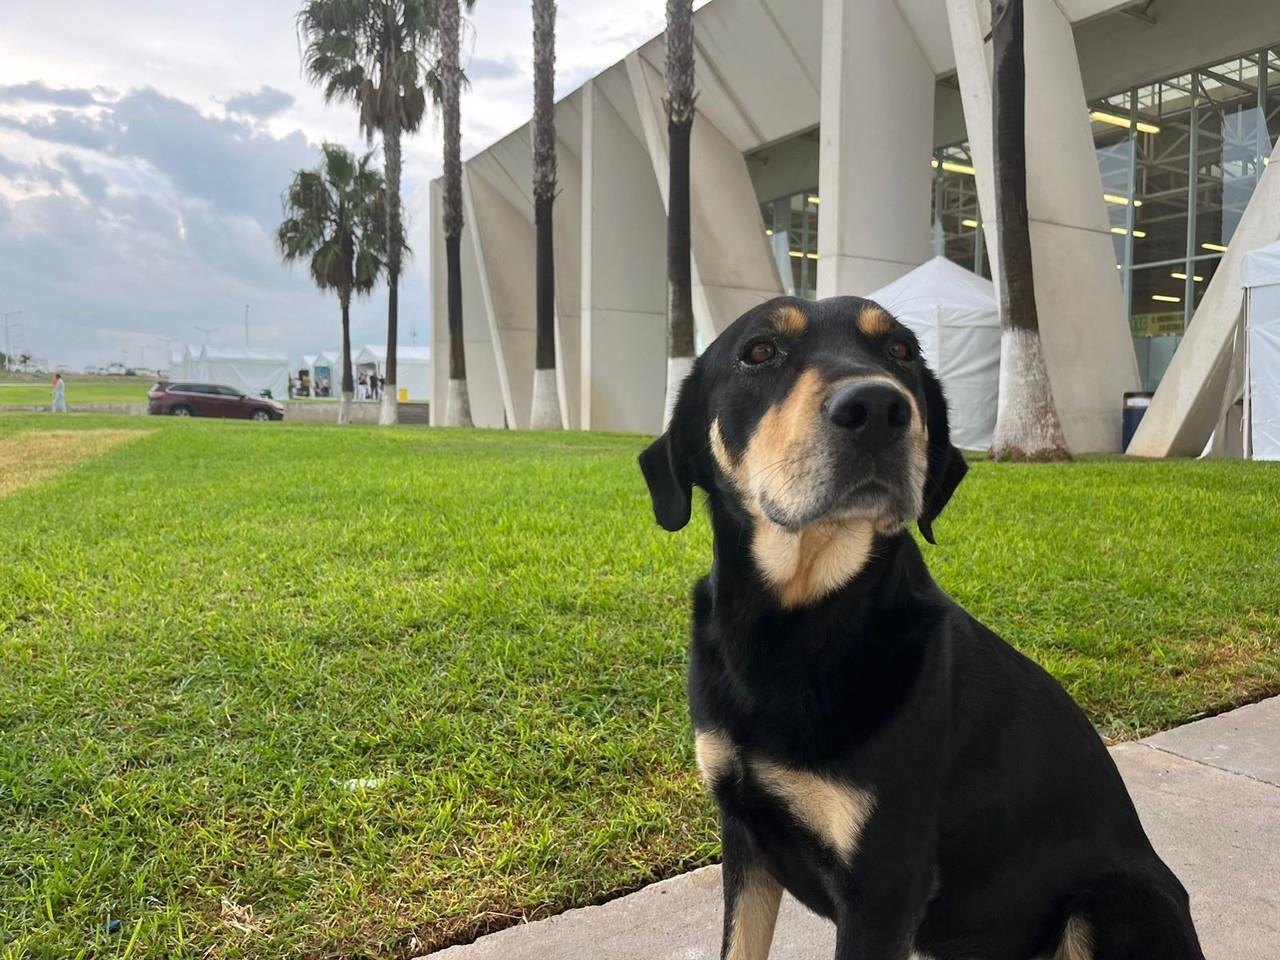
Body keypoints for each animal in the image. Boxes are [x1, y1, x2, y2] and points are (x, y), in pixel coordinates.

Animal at [640, 296, 1208, 960]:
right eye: (759, 352)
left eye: (900, 352)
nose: (878, 409)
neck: (799, 622)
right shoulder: (744, 837)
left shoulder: (884, 881)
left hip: (1112, 902)